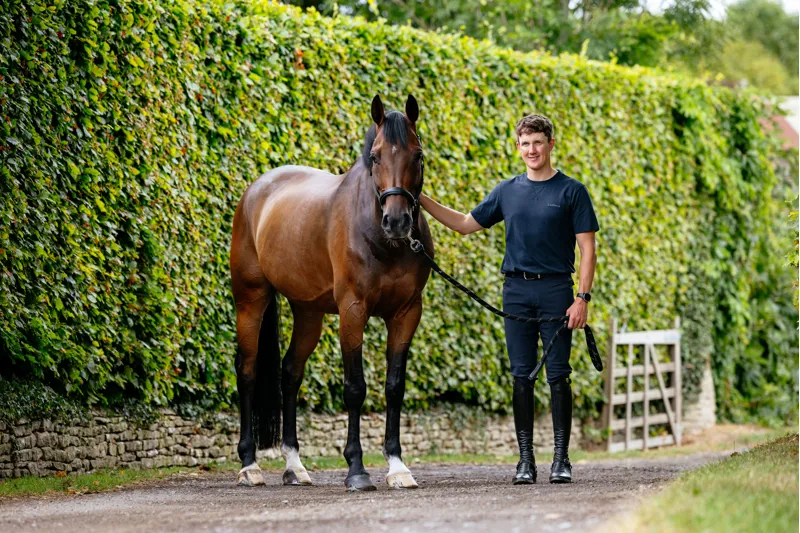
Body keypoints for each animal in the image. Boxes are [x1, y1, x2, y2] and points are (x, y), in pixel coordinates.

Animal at [229, 95, 433, 491]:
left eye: (417, 156)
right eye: (376, 157)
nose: (397, 222)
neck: (380, 239)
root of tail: (256, 190)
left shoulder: (406, 313)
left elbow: (395, 386)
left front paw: (397, 466)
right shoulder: (353, 311)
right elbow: (355, 388)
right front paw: (357, 469)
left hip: (308, 312)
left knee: (290, 372)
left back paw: (295, 466)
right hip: (251, 300)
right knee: (246, 371)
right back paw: (249, 466)